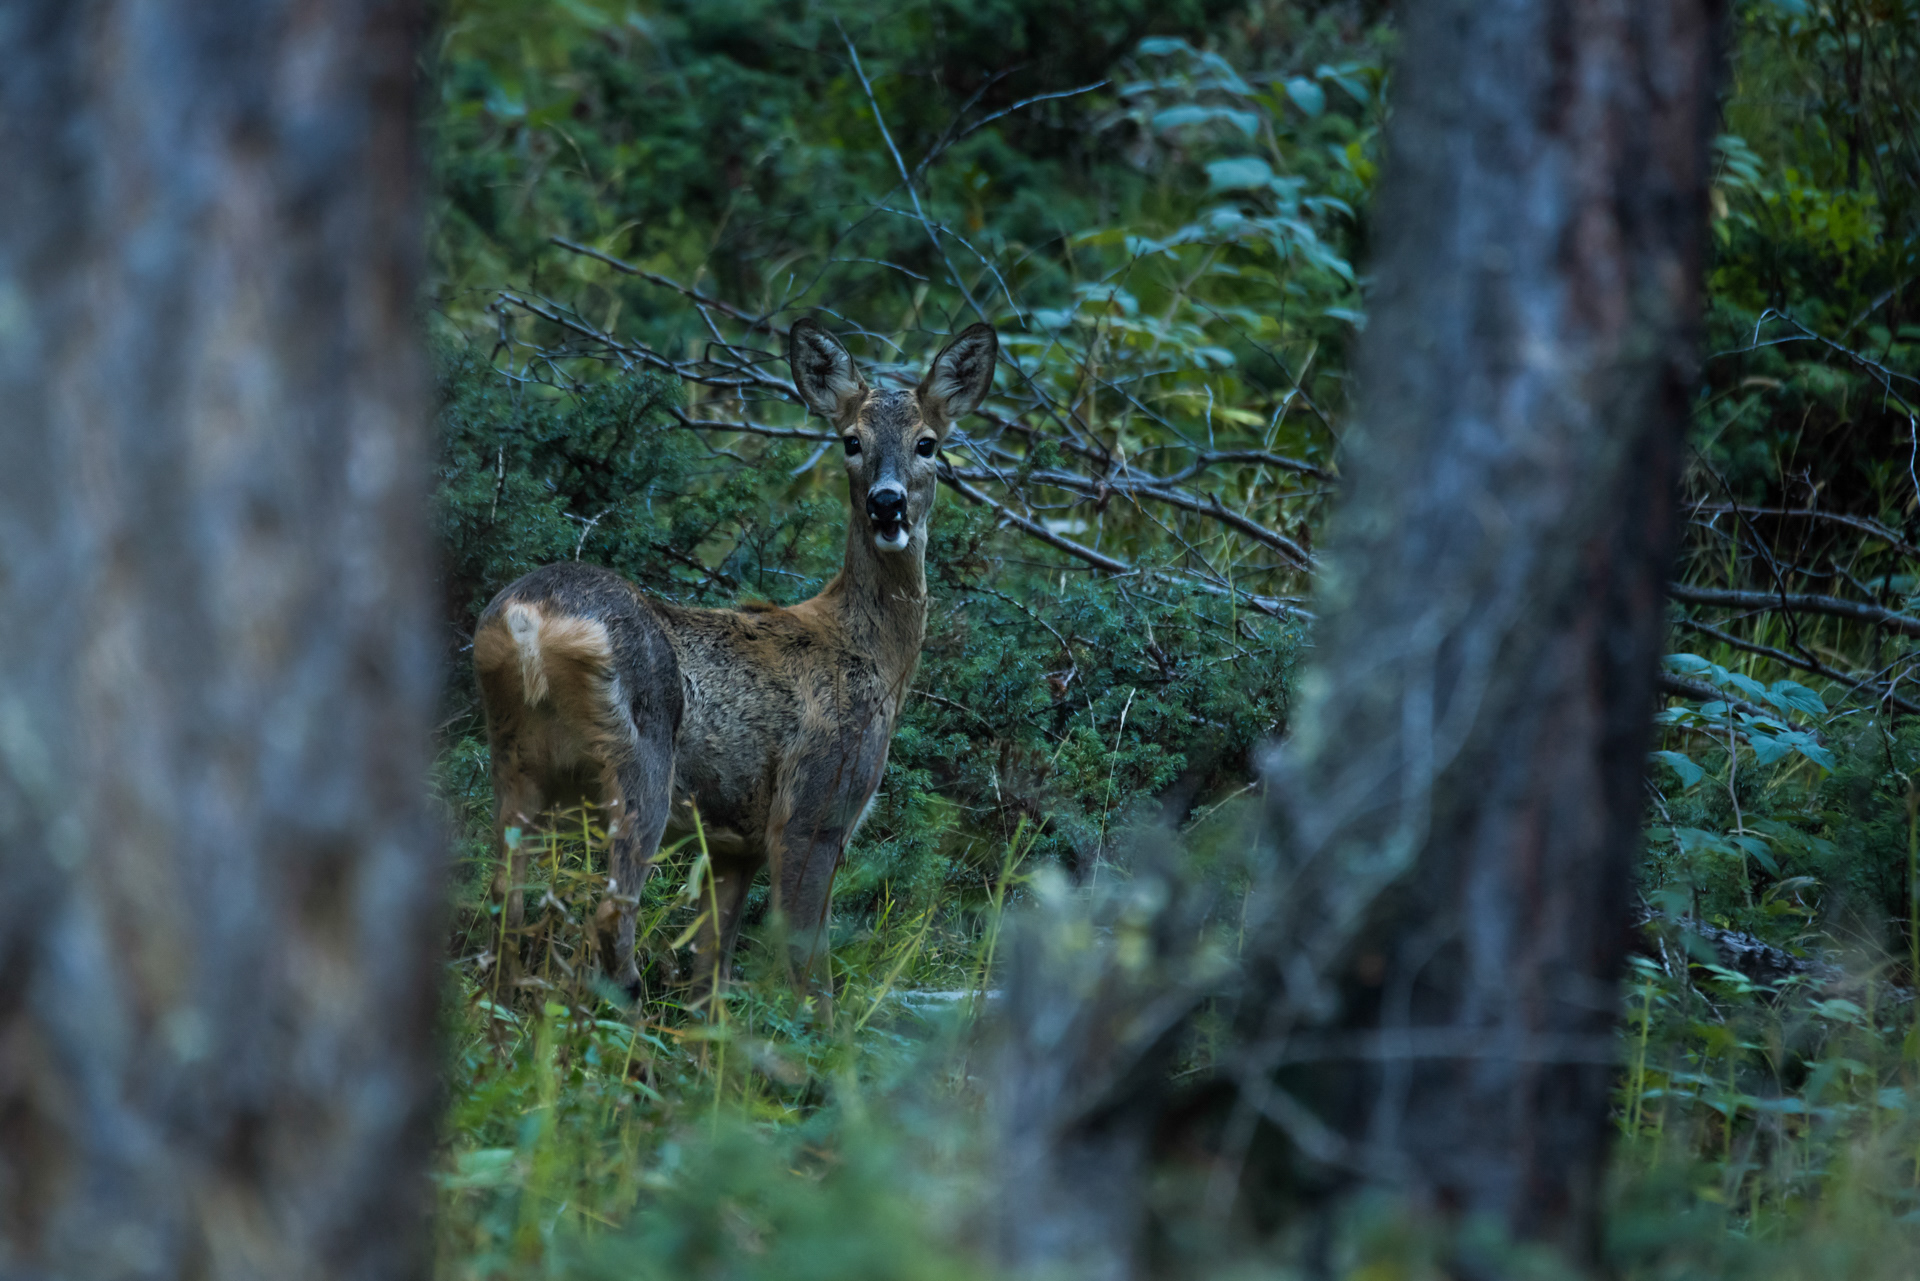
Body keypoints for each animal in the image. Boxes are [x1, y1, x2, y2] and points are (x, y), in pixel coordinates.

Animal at [471, 318, 997, 1009]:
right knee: (612, 916)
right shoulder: (816, 803)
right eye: (851, 441)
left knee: (504, 908)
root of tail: (530, 622)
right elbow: (808, 969)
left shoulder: (733, 844)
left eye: (928, 443)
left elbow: (710, 974)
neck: (873, 657)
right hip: (640, 758)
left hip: (516, 760)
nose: (887, 504)